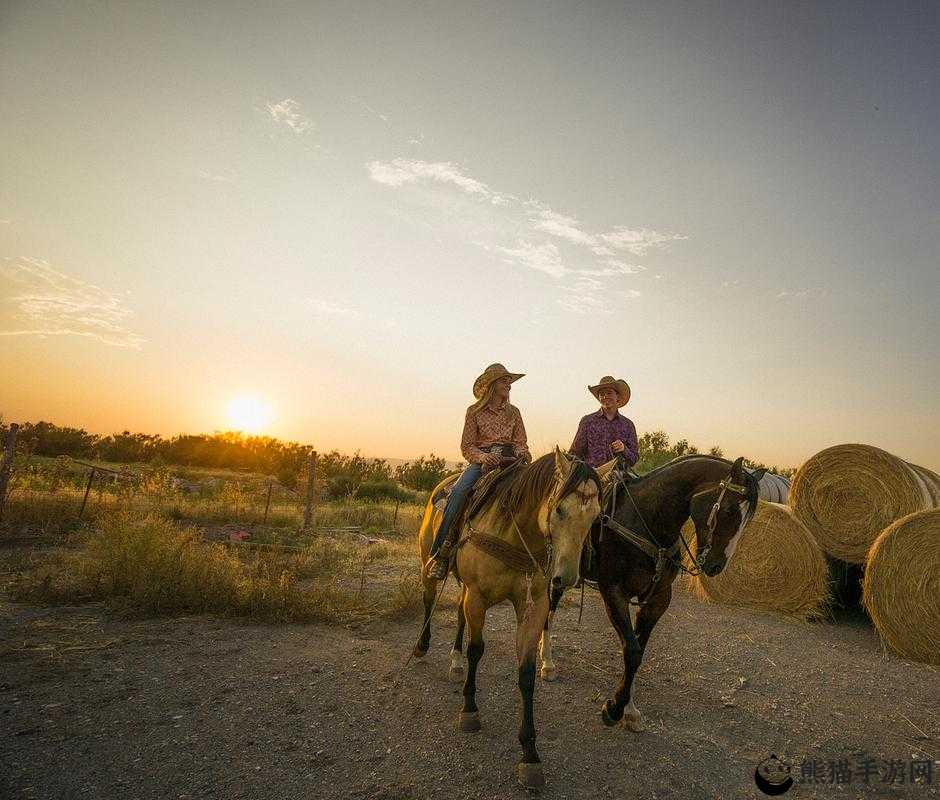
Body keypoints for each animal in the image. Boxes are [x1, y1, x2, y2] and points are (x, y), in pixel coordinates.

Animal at [416, 450, 604, 788]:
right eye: (559, 509)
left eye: (595, 516)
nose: (567, 578)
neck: (514, 533)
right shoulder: (478, 597)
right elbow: (477, 650)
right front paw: (469, 711)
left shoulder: (532, 607)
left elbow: (526, 673)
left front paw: (530, 753)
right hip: (429, 560)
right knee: (428, 599)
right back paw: (422, 647)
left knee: (460, 617)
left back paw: (455, 661)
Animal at [536, 456, 764, 732]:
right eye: (730, 510)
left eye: (747, 520)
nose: (716, 566)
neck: (648, 522)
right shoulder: (614, 593)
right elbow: (632, 651)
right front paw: (614, 709)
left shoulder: (658, 600)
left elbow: (637, 651)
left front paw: (629, 709)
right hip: (559, 571)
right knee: (549, 608)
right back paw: (547, 662)